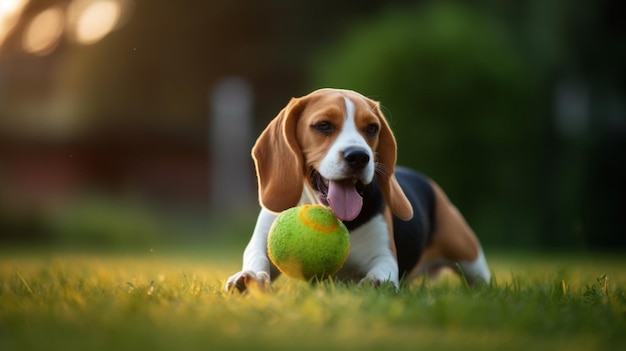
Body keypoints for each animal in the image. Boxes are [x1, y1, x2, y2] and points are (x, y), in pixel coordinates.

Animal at [223, 89, 488, 292]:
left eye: (371, 128)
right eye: (323, 125)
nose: (359, 156)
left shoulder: (384, 255)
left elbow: (383, 270)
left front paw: (376, 282)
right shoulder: (262, 241)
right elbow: (257, 257)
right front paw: (248, 277)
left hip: (469, 254)